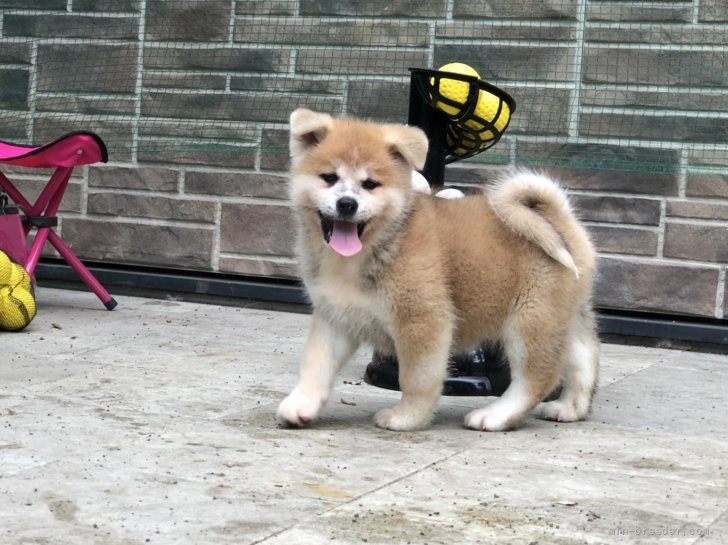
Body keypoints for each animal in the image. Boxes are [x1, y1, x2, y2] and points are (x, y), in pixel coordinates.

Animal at [276, 108, 600, 432]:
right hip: (561, 320)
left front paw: (407, 417)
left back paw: (495, 415)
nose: (347, 204)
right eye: (329, 178)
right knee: (584, 361)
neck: (369, 249)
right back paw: (570, 408)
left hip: (530, 320)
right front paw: (301, 405)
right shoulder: (336, 317)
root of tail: (558, 220)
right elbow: (316, 367)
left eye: (370, 184)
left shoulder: (423, 320)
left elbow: (417, 379)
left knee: (538, 378)